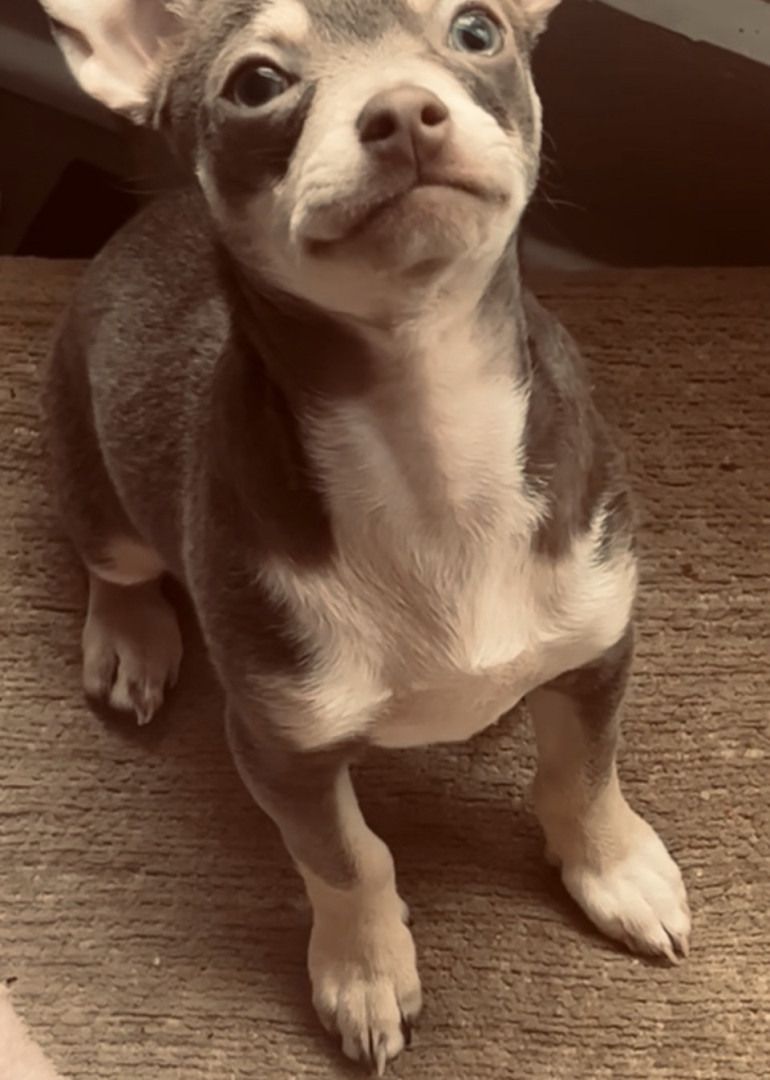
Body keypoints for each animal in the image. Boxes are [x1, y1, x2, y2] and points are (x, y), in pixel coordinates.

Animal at [38, 0, 691, 1072]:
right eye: (256, 83)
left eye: (477, 32)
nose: (402, 113)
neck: (431, 444)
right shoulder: (280, 746)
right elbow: (346, 859)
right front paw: (366, 971)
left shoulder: (600, 645)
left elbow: (583, 774)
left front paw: (616, 869)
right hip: (97, 479)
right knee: (116, 566)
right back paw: (131, 640)